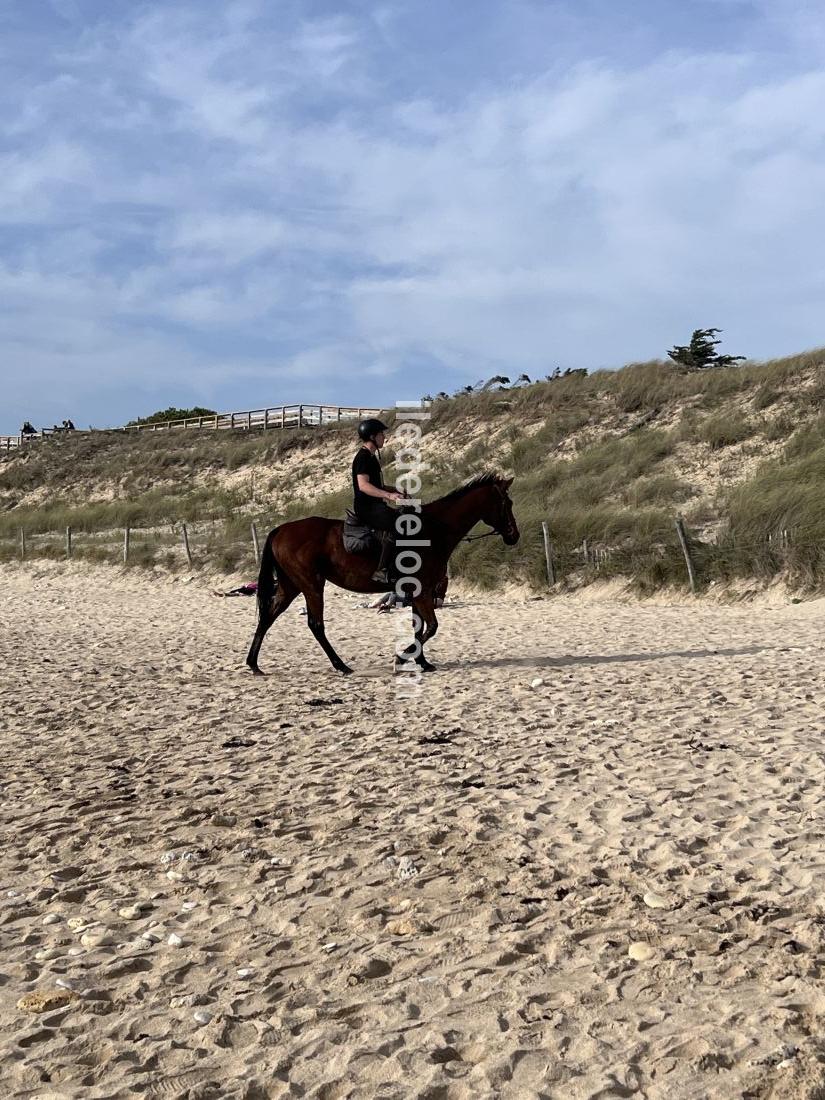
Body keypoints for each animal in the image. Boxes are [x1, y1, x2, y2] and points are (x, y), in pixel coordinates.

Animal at [242, 470, 519, 673]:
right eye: (507, 503)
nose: (514, 536)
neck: (432, 531)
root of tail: (281, 529)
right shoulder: (423, 592)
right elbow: (431, 627)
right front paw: (402, 657)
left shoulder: (418, 592)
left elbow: (419, 627)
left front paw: (422, 662)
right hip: (311, 585)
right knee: (315, 624)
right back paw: (341, 665)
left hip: (290, 585)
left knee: (268, 617)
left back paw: (254, 664)